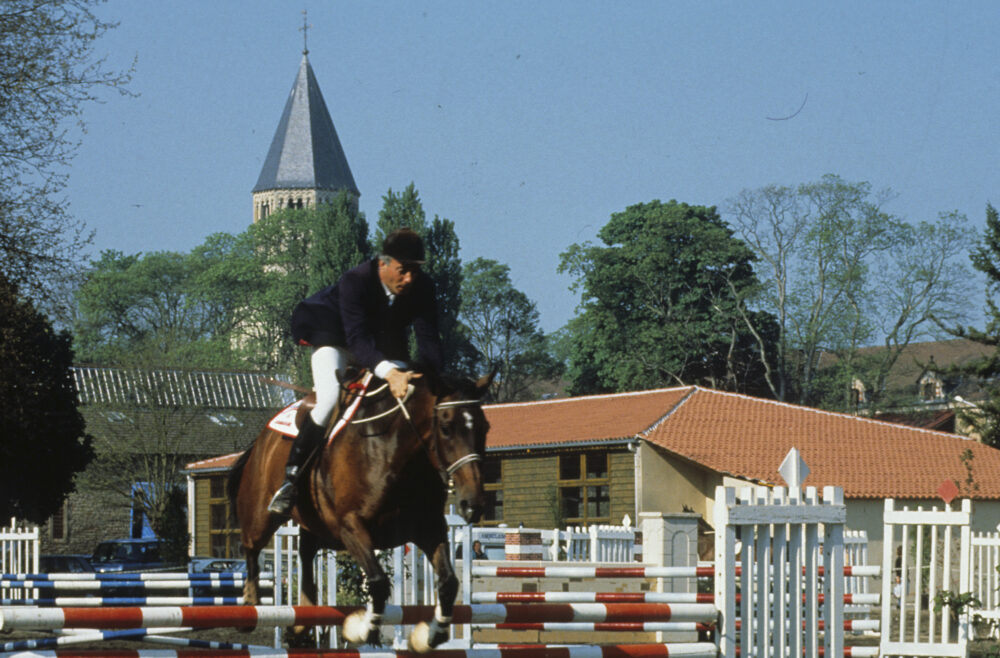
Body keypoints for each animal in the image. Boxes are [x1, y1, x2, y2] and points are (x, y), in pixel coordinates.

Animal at [227, 368, 492, 652]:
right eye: (445, 428)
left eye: (485, 428)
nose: (473, 504)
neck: (394, 452)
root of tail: (262, 439)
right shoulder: (351, 526)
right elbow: (378, 583)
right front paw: (361, 629)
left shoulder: (428, 529)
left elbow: (449, 583)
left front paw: (429, 635)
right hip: (261, 516)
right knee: (251, 547)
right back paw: (249, 608)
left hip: (316, 527)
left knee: (306, 554)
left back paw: (301, 623)